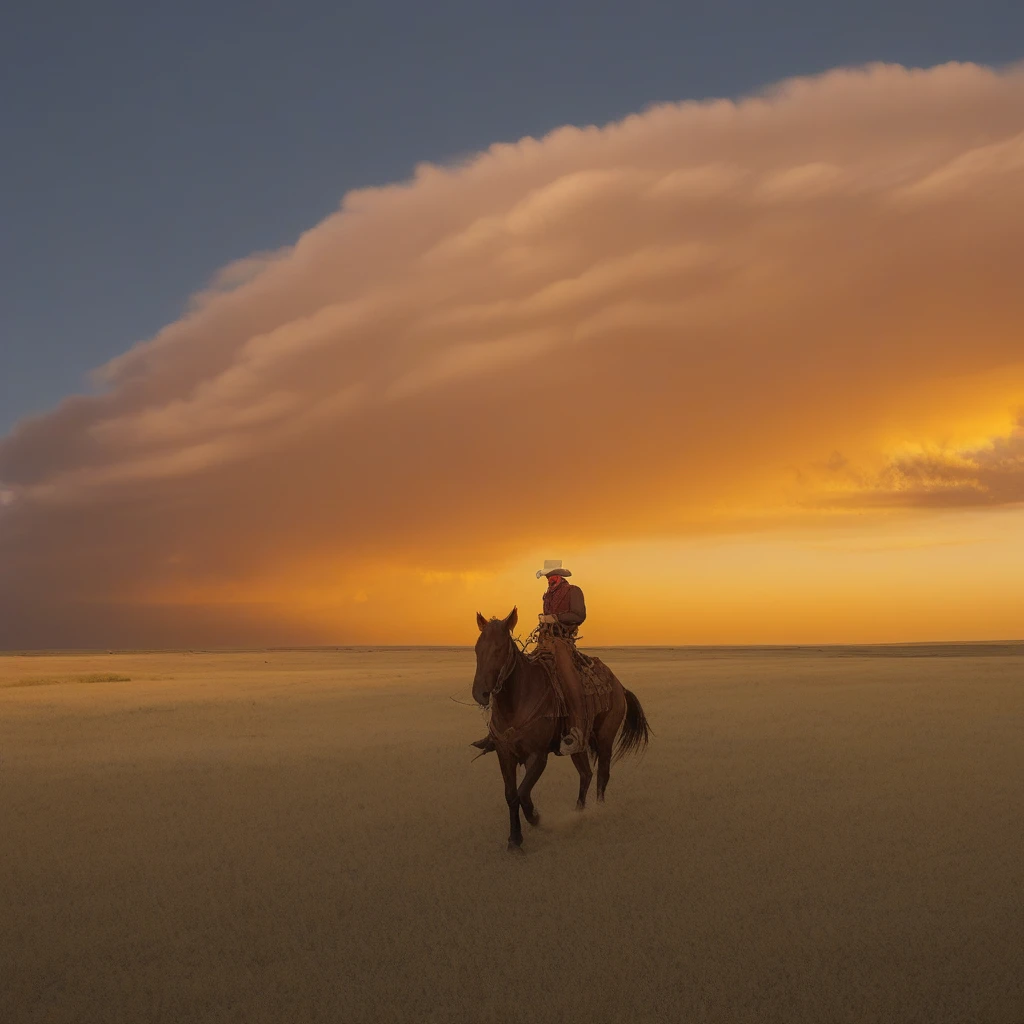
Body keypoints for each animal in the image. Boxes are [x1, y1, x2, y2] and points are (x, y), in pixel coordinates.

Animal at [471, 602, 647, 851]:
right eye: (477, 649)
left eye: (500, 649)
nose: (480, 693)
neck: (517, 701)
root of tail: (618, 686)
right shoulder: (505, 755)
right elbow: (511, 795)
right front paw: (515, 839)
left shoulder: (537, 756)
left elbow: (523, 793)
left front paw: (536, 818)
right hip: (577, 744)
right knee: (586, 774)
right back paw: (579, 812)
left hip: (605, 738)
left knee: (603, 773)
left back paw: (598, 810)